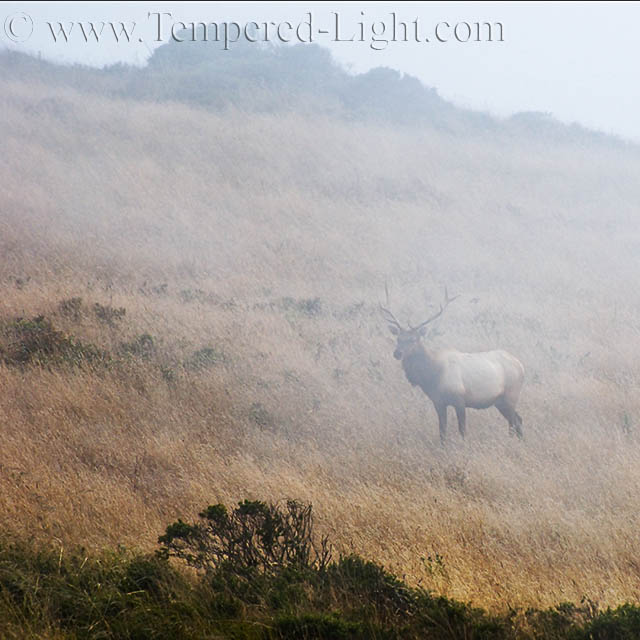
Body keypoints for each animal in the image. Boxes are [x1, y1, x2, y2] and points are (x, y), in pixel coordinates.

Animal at [381, 289, 524, 444]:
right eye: (398, 339)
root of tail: (521, 366)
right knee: (517, 419)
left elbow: (462, 430)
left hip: (510, 395)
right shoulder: (438, 402)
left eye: (413, 339)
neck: (433, 376)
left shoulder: (459, 399)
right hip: (500, 401)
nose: (397, 353)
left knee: (514, 421)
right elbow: (442, 431)